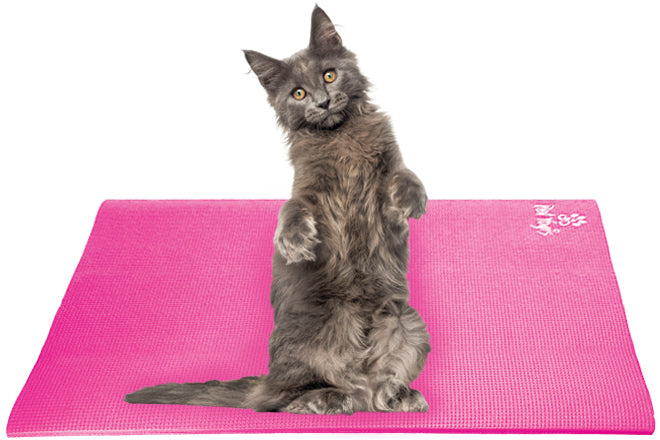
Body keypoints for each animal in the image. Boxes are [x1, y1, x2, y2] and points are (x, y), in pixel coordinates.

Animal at [125, 5, 430, 414]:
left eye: (329, 75)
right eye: (298, 93)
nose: (322, 102)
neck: (340, 137)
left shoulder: (388, 166)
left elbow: (404, 176)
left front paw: (411, 200)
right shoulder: (309, 188)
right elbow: (292, 208)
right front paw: (294, 242)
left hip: (405, 321)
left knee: (374, 389)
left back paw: (396, 395)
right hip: (313, 334)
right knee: (280, 399)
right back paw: (326, 398)